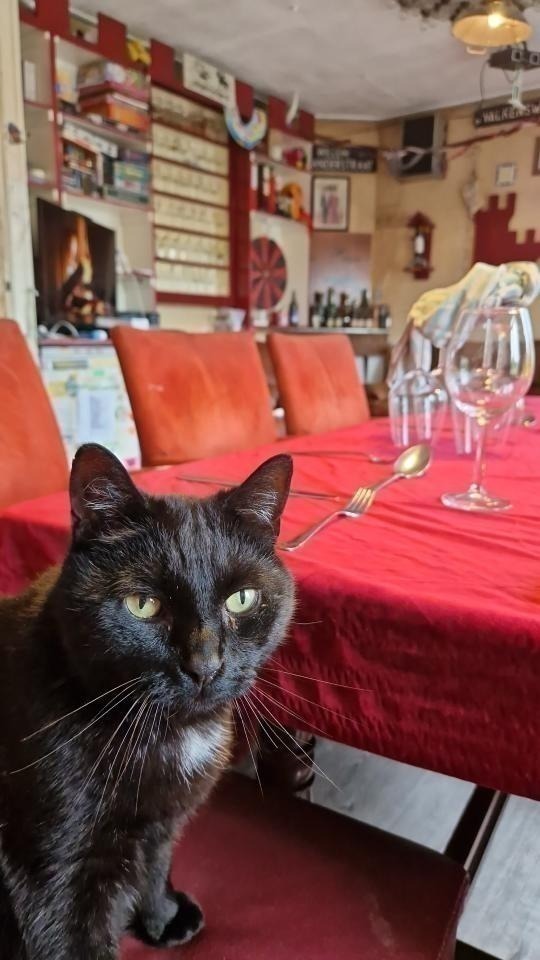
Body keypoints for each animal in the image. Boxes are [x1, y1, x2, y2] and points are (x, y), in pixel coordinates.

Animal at [0, 442, 294, 959]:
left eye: (241, 599)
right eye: (143, 604)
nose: (205, 665)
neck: (168, 734)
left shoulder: (163, 821)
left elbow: (155, 865)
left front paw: (162, 917)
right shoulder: (48, 872)